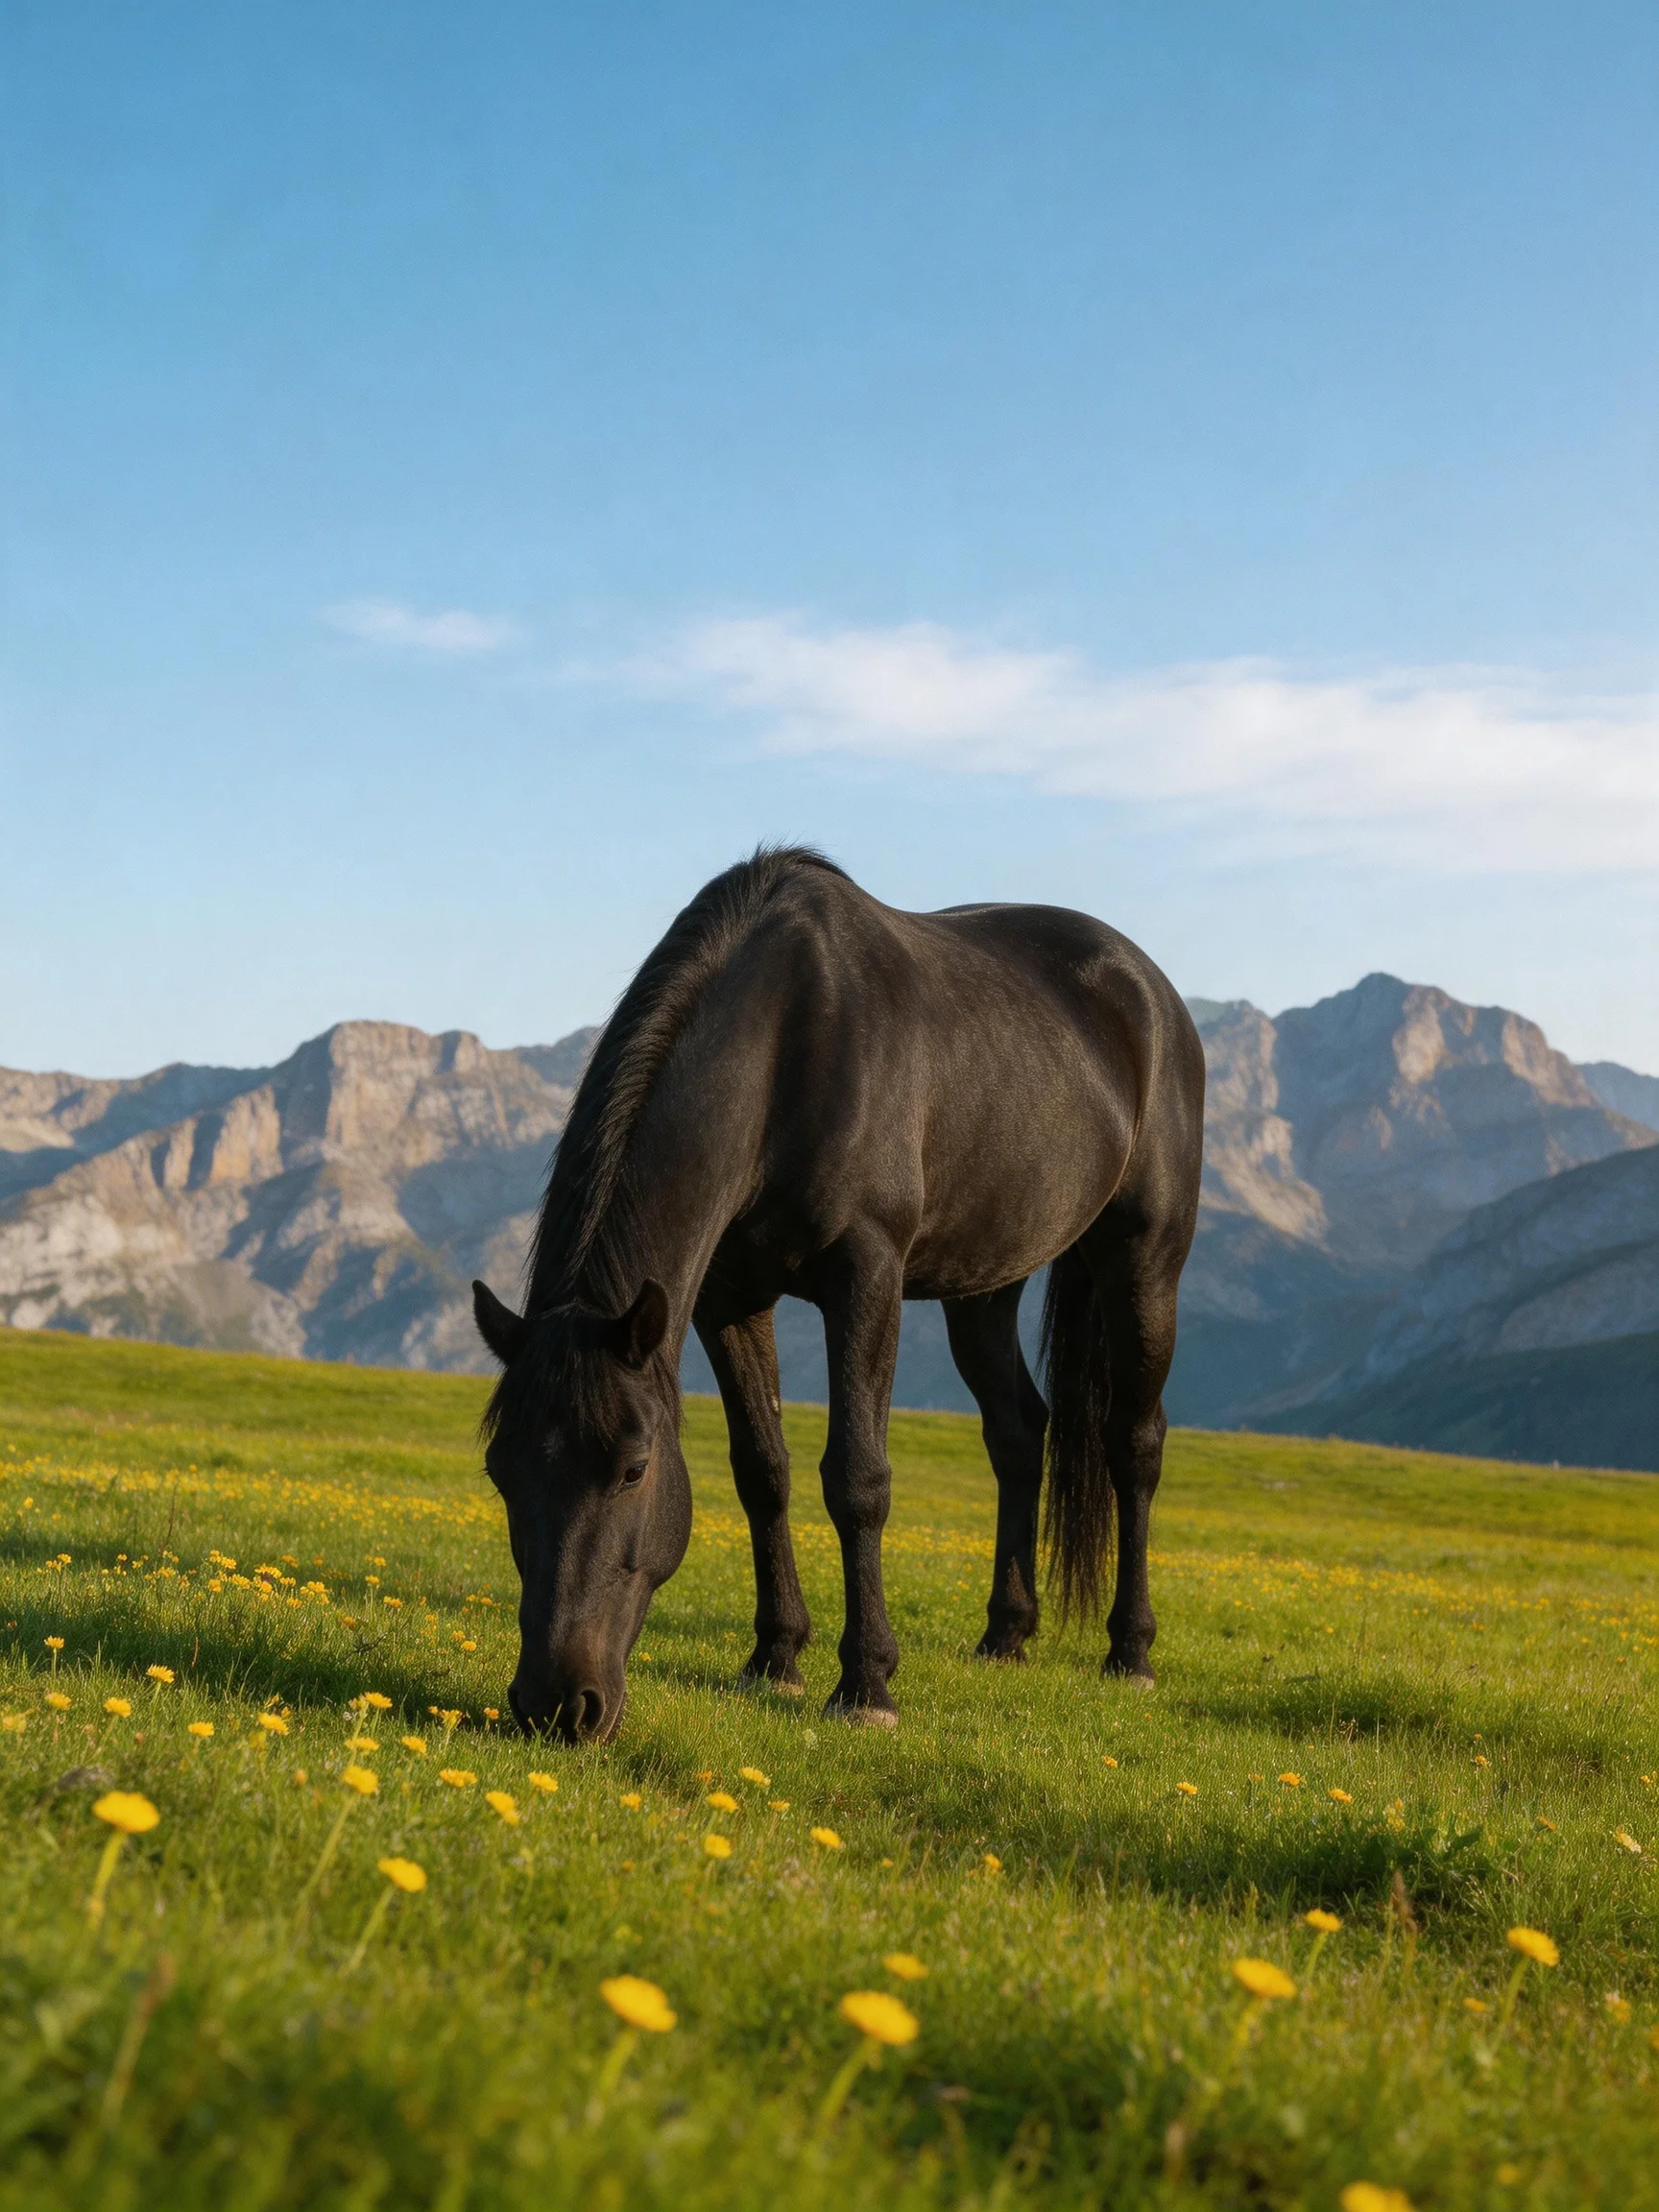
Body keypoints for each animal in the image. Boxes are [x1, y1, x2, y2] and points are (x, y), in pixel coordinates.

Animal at [473, 847, 1204, 1743]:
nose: (555, 1705)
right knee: (1018, 1432)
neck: (789, 1043)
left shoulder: (867, 1275)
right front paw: (777, 1657)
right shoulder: (727, 1299)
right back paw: (1006, 1634)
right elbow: (763, 1471)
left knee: (1134, 1443)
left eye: (634, 1469)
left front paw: (867, 1683)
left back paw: (1129, 1651)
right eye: (501, 1471)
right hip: (983, 1288)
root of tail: (1148, 990)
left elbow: (857, 1478)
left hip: (1145, 1262)